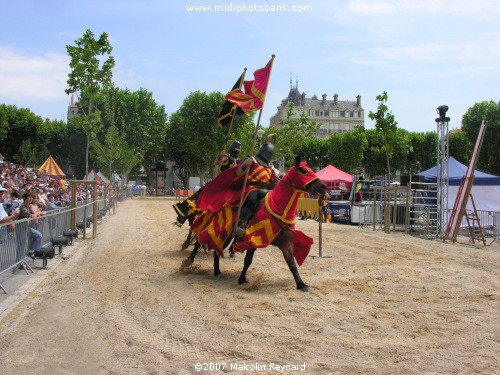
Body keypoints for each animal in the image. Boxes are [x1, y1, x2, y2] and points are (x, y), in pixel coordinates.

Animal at [182, 157, 326, 292]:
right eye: (303, 170)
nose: (323, 187)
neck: (276, 208)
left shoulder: (285, 244)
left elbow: (292, 264)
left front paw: (302, 285)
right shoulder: (253, 239)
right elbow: (248, 261)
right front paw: (242, 279)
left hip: (227, 234)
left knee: (217, 248)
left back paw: (217, 271)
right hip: (218, 226)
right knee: (200, 241)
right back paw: (188, 261)